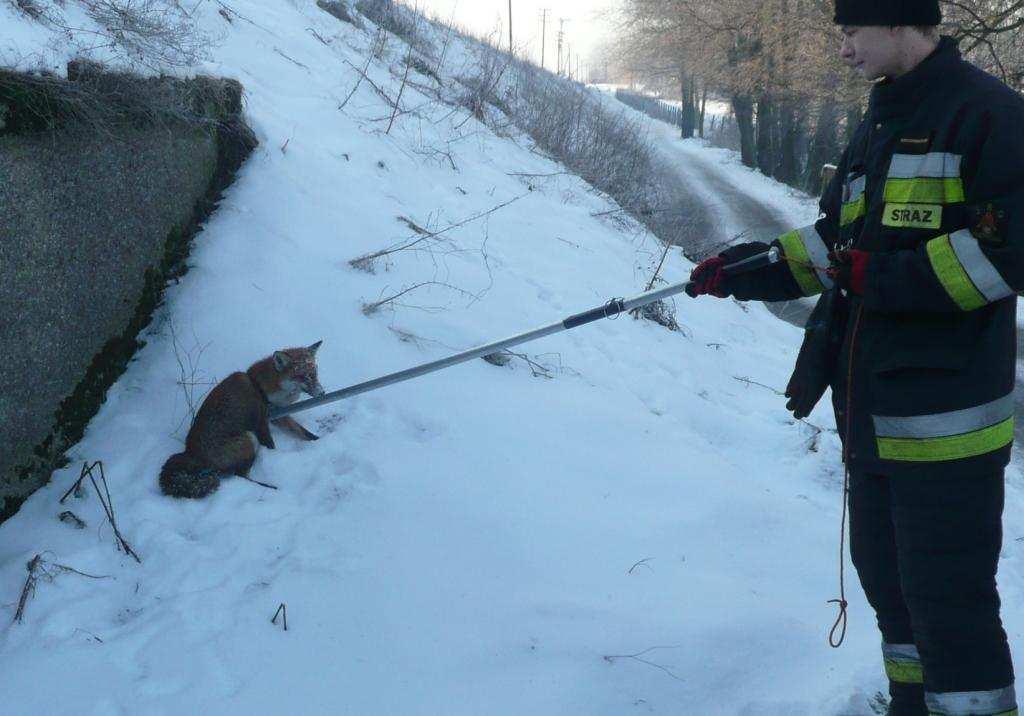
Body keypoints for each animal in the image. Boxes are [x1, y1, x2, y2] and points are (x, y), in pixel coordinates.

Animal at [159, 342, 323, 497]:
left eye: (315, 373)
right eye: (302, 376)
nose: (322, 393)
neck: (259, 387)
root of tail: (190, 452)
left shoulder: (278, 416)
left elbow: (304, 433)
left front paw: (320, 441)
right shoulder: (261, 424)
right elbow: (271, 446)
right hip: (249, 439)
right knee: (240, 476)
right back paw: (270, 487)